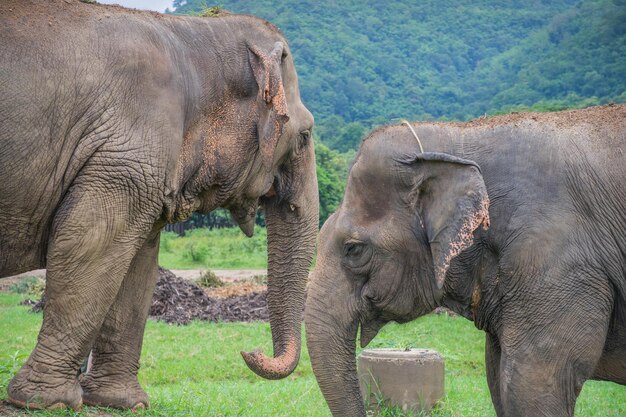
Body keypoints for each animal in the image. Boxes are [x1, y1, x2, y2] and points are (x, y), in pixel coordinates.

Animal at [0, 0, 316, 410]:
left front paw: (122, 402)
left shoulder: (138, 166)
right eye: (305, 135)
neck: (192, 36)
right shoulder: (124, 154)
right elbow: (88, 242)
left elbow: (140, 265)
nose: (250, 352)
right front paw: (47, 403)